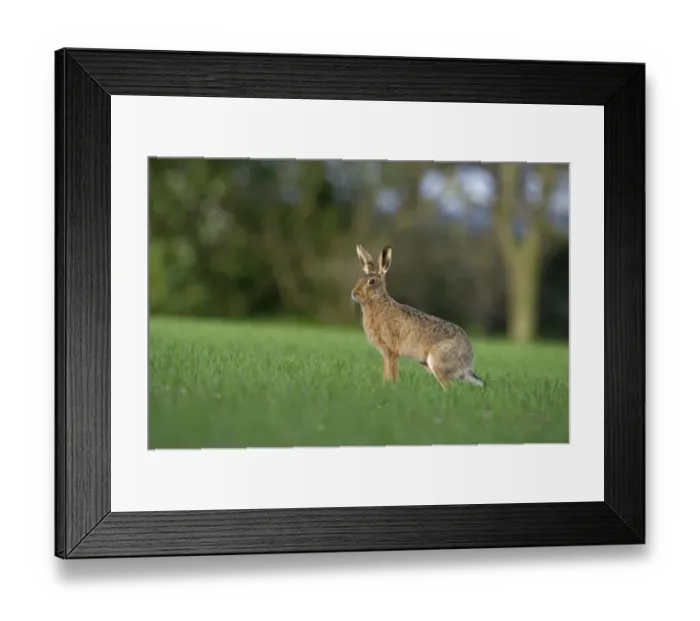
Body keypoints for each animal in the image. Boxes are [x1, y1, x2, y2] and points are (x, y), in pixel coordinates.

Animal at [351, 243, 485, 390]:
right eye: (359, 279)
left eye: (372, 282)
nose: (354, 294)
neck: (377, 302)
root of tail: (468, 359)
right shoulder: (385, 353)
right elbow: (386, 373)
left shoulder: (391, 350)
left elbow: (392, 373)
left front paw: (392, 388)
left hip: (437, 361)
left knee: (449, 387)